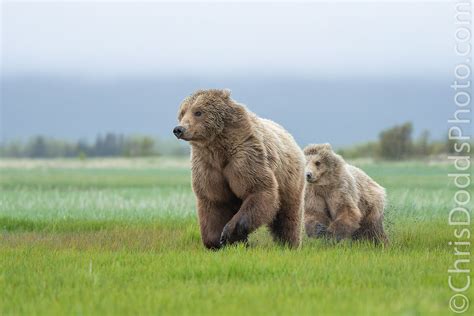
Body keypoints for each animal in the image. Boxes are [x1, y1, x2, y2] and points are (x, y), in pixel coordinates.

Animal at [173, 89, 304, 249]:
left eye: (198, 112)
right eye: (182, 113)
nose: (179, 129)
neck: (219, 149)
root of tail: (289, 136)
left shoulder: (244, 158)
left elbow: (258, 189)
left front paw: (228, 233)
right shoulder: (208, 165)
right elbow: (214, 201)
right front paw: (216, 242)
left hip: (289, 179)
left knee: (287, 214)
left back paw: (288, 243)